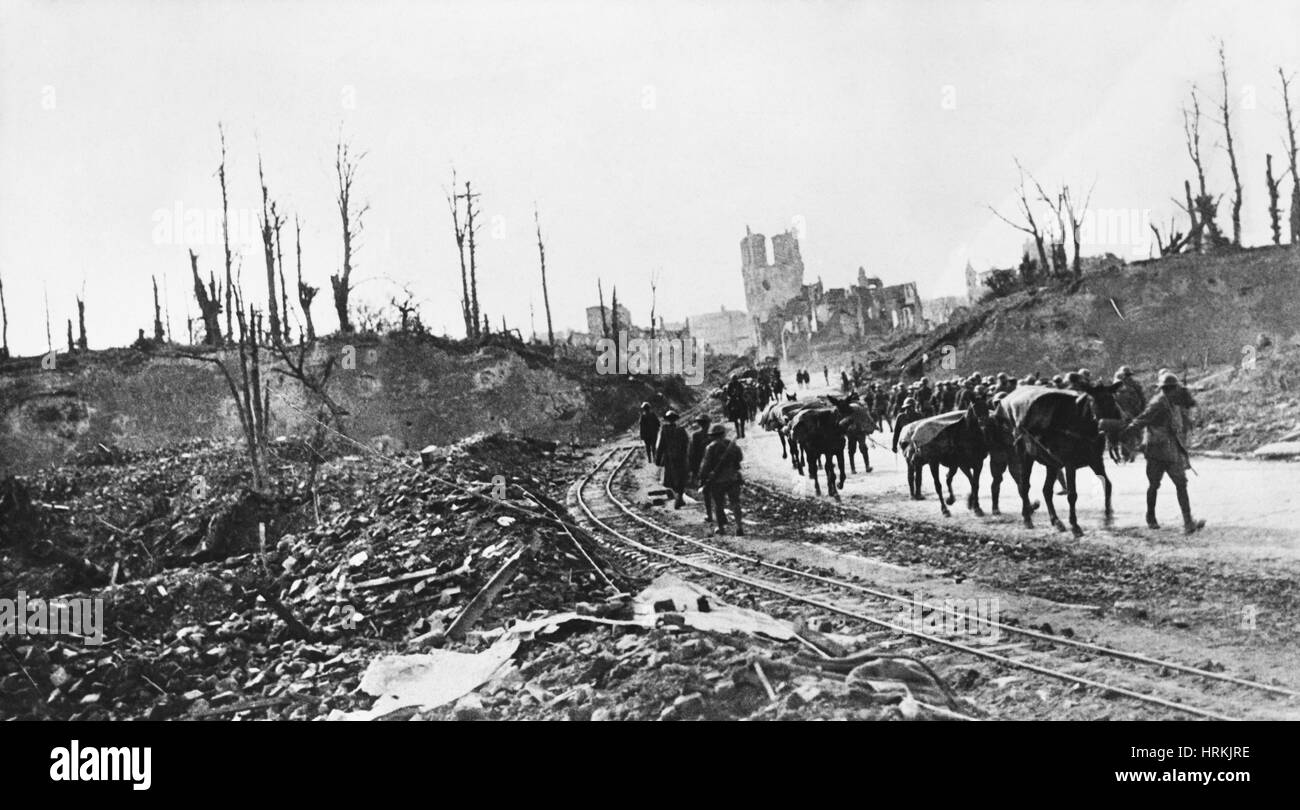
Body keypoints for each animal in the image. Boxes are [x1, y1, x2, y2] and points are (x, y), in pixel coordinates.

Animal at [987, 382, 1123, 535]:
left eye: (1112, 401)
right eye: (1094, 401)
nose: (1109, 425)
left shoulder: (1096, 460)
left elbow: (1108, 485)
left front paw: (1108, 517)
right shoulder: (1070, 464)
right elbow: (1072, 495)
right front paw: (1075, 525)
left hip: (1051, 462)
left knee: (1046, 490)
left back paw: (1056, 521)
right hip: (1024, 456)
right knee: (1024, 486)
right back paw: (1027, 518)